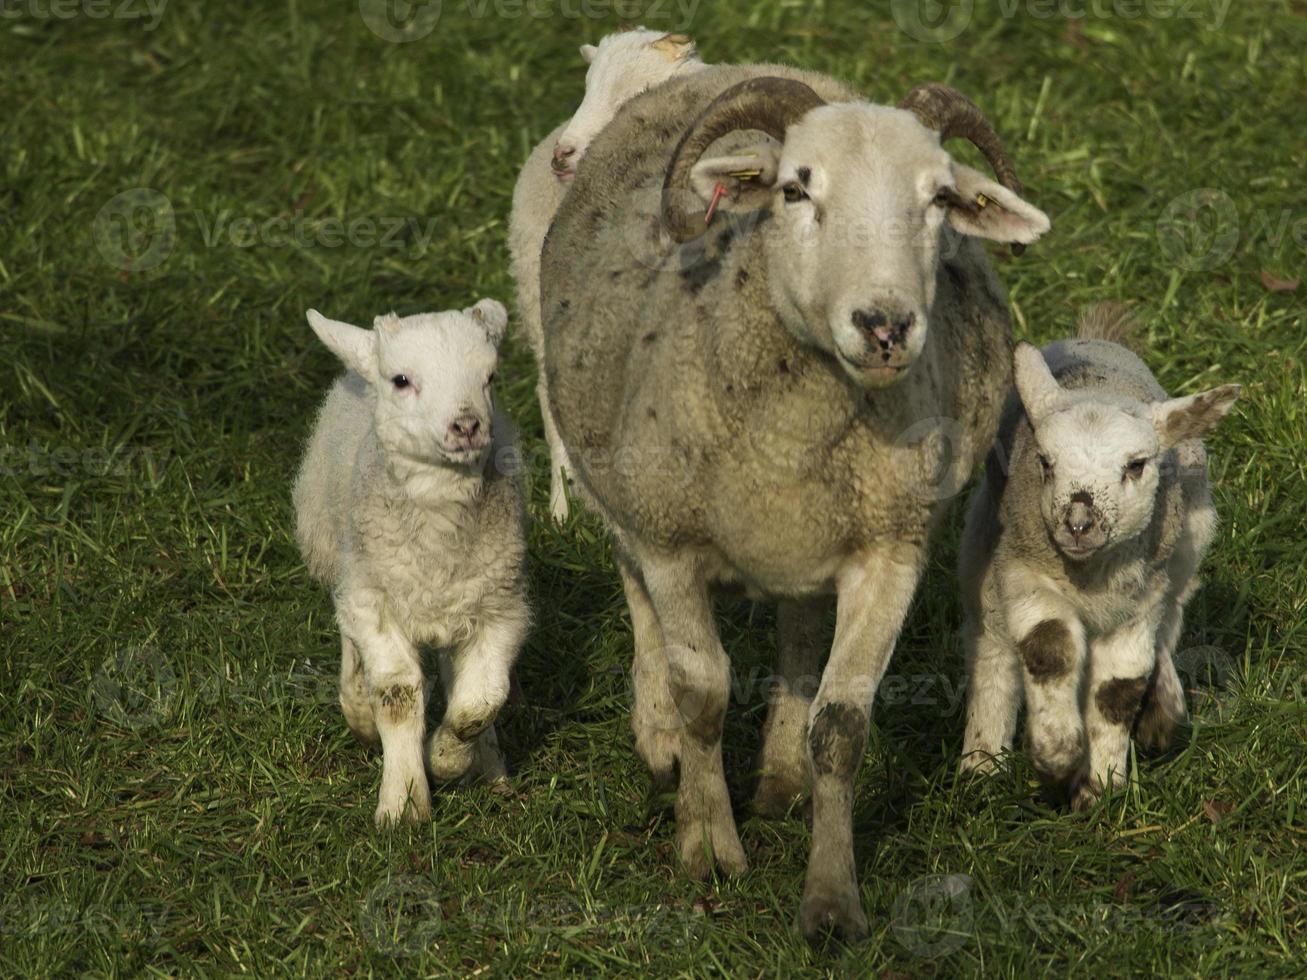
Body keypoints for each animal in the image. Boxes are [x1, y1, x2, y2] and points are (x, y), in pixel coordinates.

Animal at [294, 299, 528, 831]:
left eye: (489, 377)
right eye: (401, 380)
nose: (467, 426)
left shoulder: (500, 608)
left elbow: (480, 702)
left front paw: (446, 759)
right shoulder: (373, 602)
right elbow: (398, 694)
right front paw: (403, 803)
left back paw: (489, 765)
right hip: (344, 558)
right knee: (355, 649)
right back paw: (358, 708)